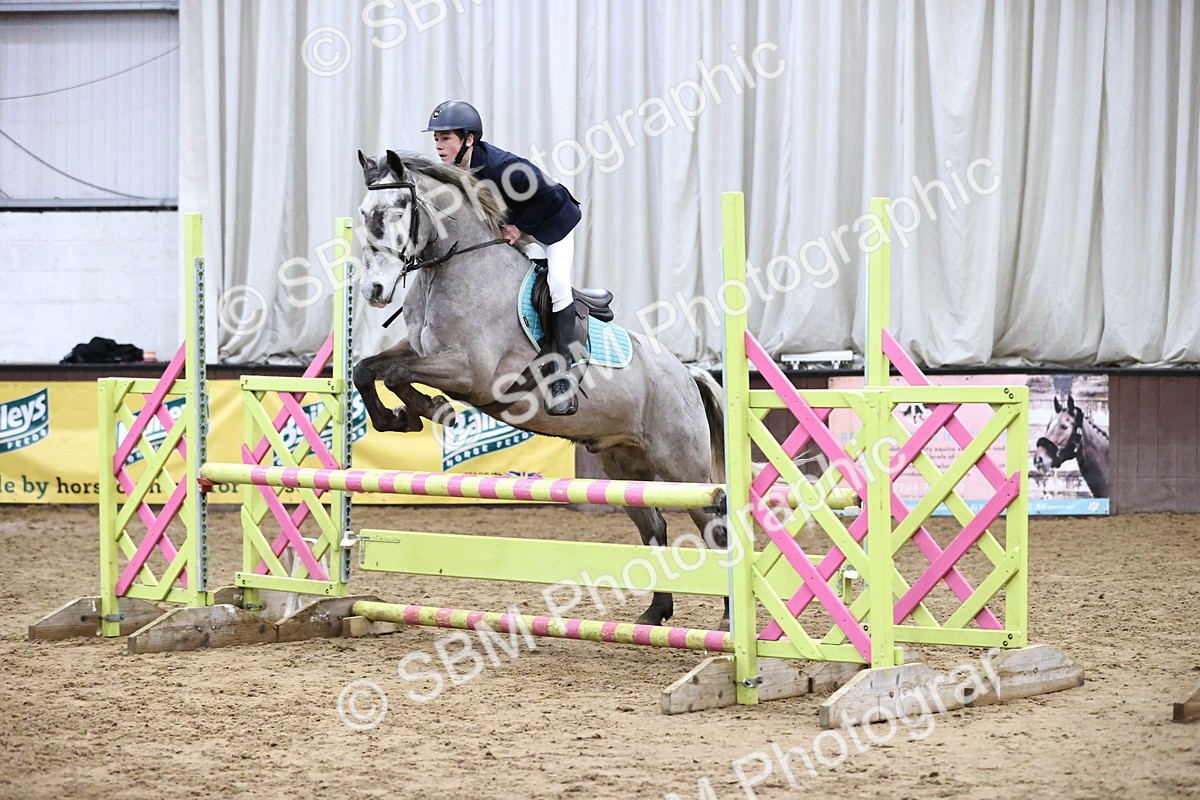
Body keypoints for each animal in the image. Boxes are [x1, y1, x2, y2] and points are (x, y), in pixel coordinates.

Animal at [351, 150, 728, 628]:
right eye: (364, 214)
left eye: (398, 211)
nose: (375, 291)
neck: (453, 269)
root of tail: (687, 373)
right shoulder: (421, 351)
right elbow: (369, 369)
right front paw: (395, 418)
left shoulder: (471, 372)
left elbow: (399, 375)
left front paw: (434, 409)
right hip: (625, 466)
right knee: (654, 527)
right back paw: (654, 613)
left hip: (683, 469)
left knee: (714, 527)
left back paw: (727, 620)